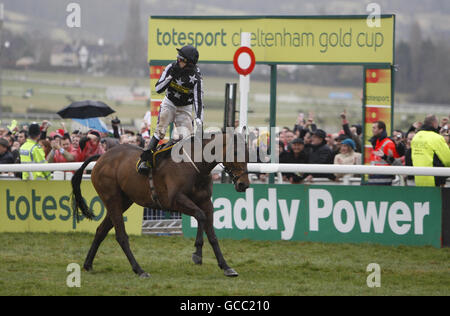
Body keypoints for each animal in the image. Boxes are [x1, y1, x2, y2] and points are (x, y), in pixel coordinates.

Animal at [70, 132, 250, 278]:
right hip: (112, 198)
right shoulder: (175, 201)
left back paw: (88, 264)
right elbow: (200, 216)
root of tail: (102, 157)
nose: (244, 184)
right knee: (121, 236)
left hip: (123, 201)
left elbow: (211, 233)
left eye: (248, 154)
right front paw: (197, 253)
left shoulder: (205, 202)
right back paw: (139, 270)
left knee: (101, 230)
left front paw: (226, 266)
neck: (195, 166)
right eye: (235, 152)